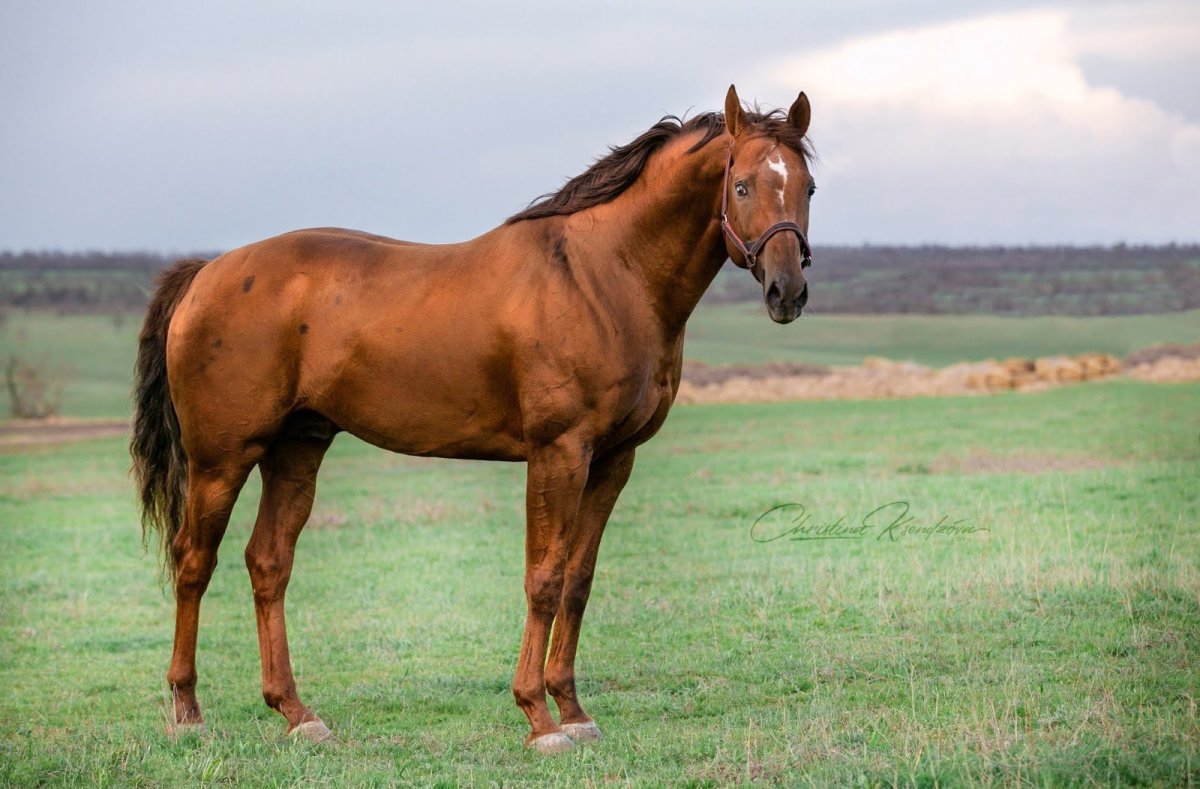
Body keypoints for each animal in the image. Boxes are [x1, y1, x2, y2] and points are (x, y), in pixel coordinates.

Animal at [131, 82, 820, 753]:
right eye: (741, 185)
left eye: (807, 186)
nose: (786, 291)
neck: (601, 276)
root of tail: (206, 274)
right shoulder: (558, 453)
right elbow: (544, 578)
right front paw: (539, 718)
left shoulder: (613, 460)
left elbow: (578, 579)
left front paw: (573, 711)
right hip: (222, 459)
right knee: (194, 562)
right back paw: (187, 713)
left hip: (297, 447)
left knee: (269, 564)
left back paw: (297, 714)